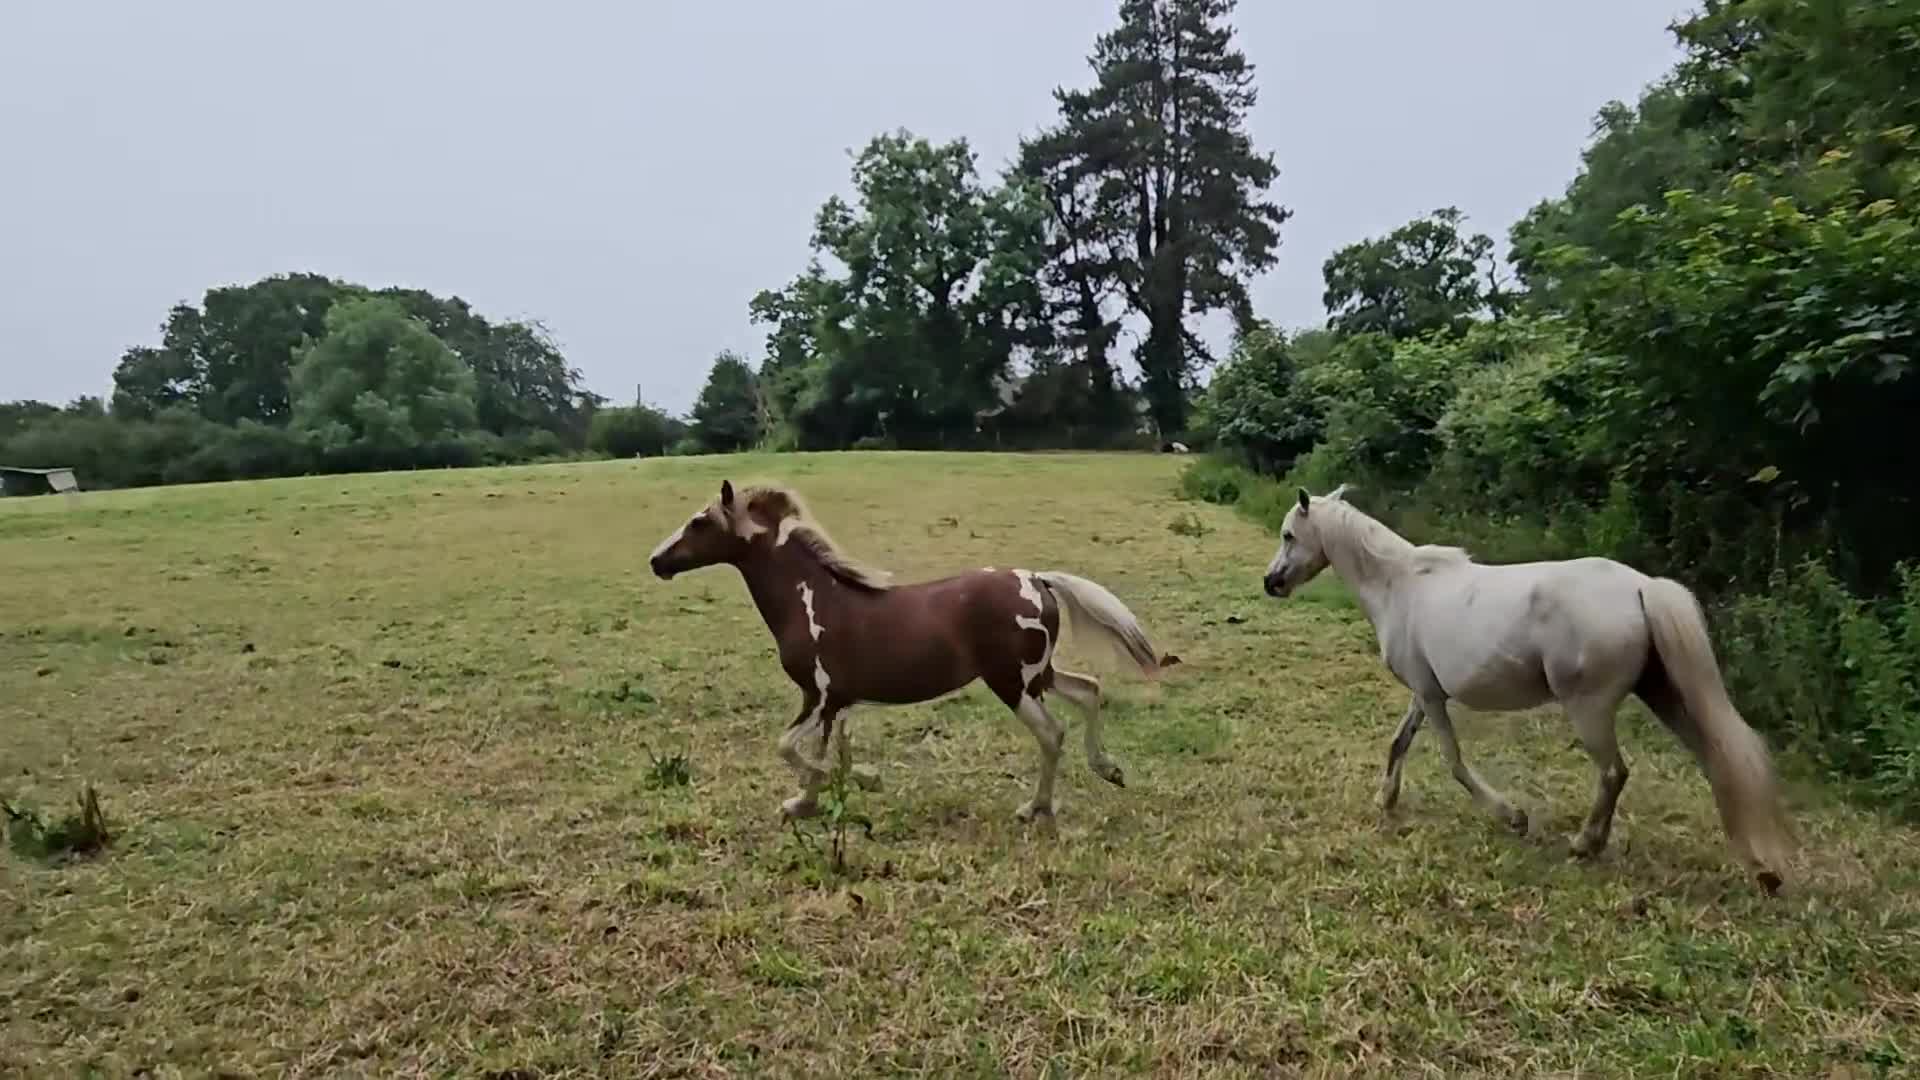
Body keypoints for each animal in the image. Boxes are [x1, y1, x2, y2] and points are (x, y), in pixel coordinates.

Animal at [648, 481, 1178, 822]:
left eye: (699, 522)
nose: (656, 561)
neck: (812, 599)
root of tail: (1038, 579)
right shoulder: (833, 703)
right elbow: (819, 753)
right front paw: (805, 804)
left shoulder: (817, 696)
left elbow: (791, 749)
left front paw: (866, 780)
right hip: (1037, 675)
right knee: (1089, 691)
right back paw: (1108, 770)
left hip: (1011, 681)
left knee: (1052, 733)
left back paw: (1035, 808)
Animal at [1260, 484, 1795, 893]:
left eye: (1289, 534)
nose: (1271, 583)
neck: (1399, 586)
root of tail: (1642, 587)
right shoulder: (1423, 692)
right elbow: (1399, 742)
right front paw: (1385, 800)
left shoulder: (1432, 697)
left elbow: (1454, 762)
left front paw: (1512, 816)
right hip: (1665, 697)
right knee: (1717, 759)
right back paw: (1760, 867)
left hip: (1590, 709)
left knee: (1615, 773)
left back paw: (1585, 845)